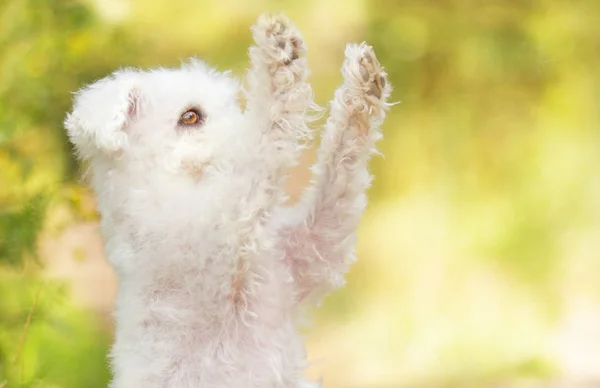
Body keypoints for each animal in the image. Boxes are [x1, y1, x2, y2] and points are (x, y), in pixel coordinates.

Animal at [65, 12, 392, 388]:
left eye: (231, 105)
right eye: (190, 116)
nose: (240, 124)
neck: (170, 189)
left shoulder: (309, 253)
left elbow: (339, 173)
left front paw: (363, 88)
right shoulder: (227, 219)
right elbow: (262, 141)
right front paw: (279, 58)